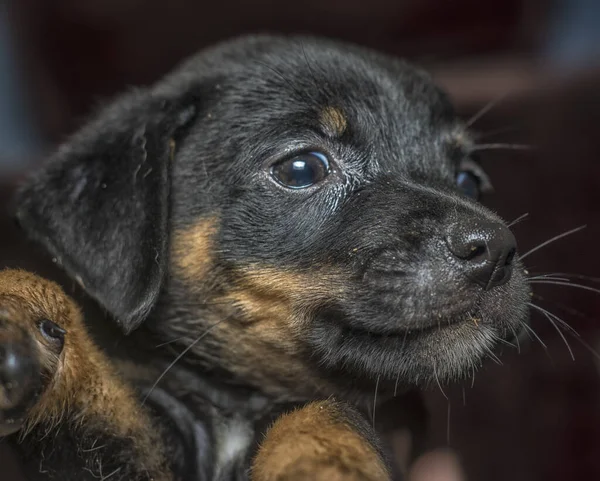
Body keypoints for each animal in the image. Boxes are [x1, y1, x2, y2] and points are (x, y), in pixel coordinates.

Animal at [0, 35, 528, 478]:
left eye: (468, 180)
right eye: (302, 169)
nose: (496, 248)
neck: (238, 404)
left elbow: (323, 409)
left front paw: (324, 463)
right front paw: (18, 317)